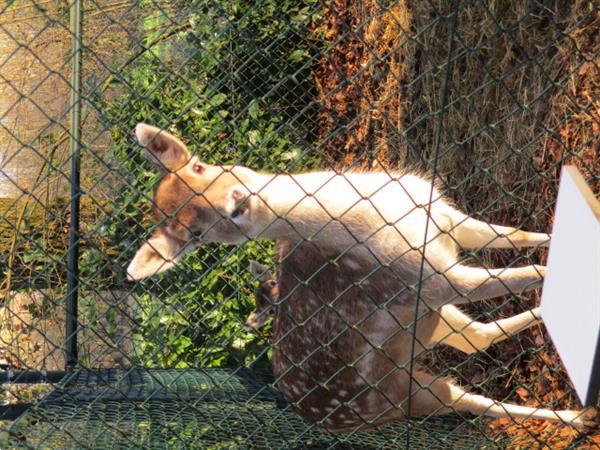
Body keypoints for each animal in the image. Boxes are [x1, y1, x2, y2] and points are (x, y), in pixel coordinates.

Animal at [126, 124, 596, 432]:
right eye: (194, 234)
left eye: (200, 167)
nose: (237, 204)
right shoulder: (436, 279)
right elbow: (534, 272)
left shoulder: (447, 218)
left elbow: (520, 236)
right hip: (408, 392)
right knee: (475, 398)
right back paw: (581, 417)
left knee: (475, 339)